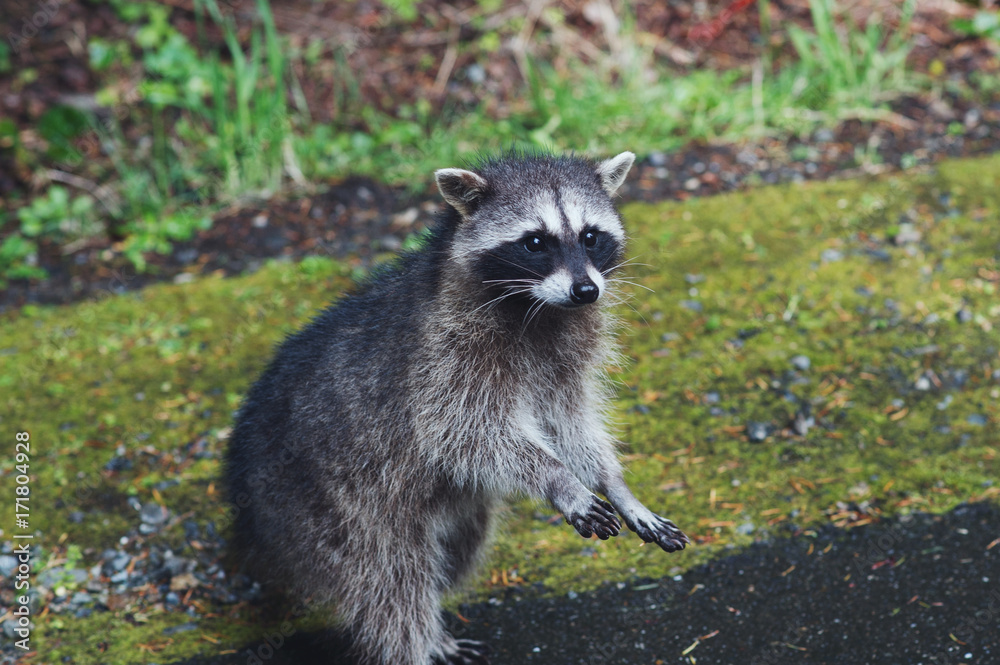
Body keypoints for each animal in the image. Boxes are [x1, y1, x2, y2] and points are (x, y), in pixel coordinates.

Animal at [225, 150, 689, 665]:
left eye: (591, 236)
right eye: (535, 242)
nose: (587, 291)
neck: (535, 306)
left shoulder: (563, 355)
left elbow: (568, 422)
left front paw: (615, 484)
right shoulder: (444, 362)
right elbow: (462, 433)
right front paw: (561, 481)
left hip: (447, 507)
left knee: (458, 549)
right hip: (328, 505)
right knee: (390, 582)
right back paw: (415, 642)